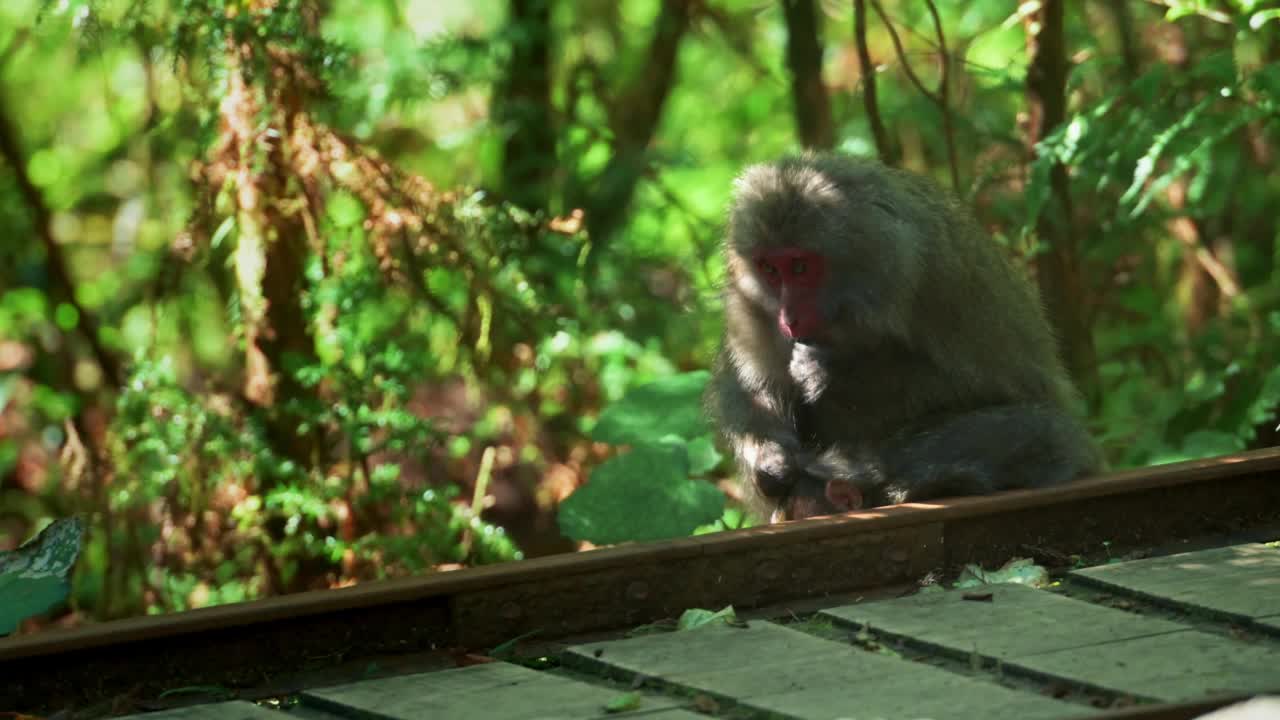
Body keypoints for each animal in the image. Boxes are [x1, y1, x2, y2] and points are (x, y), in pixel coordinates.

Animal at [706, 154, 1105, 517]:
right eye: (770, 269)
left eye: (800, 267)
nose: (788, 317)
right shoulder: (747, 311)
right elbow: (748, 388)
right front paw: (771, 458)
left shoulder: (932, 278)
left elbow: (996, 385)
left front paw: (836, 375)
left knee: (1043, 429)